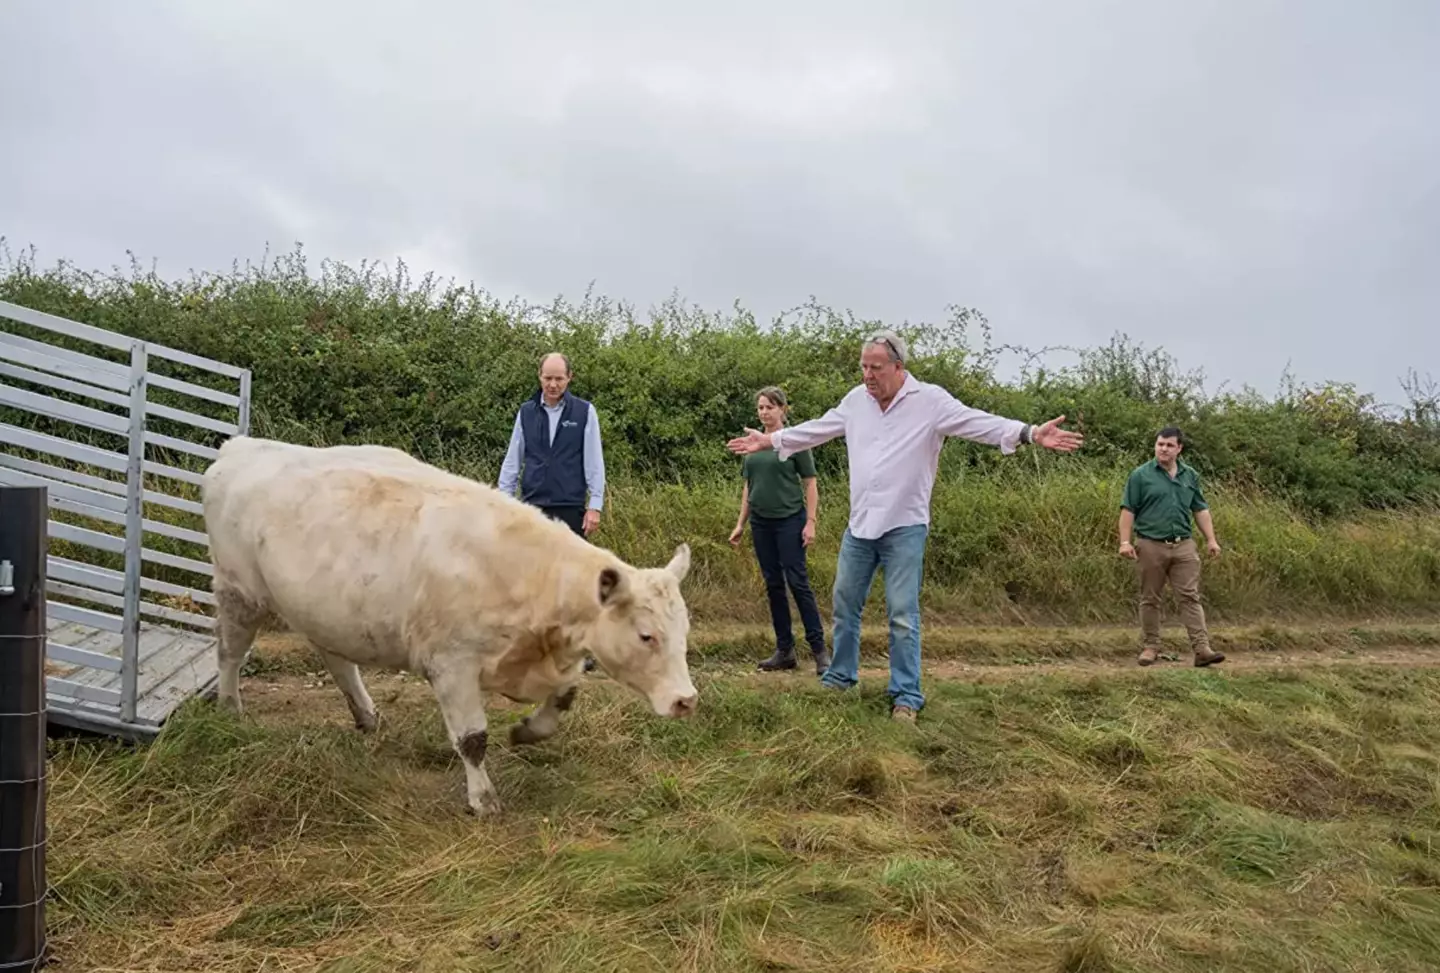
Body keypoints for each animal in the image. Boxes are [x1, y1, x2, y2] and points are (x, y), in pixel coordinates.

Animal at [200, 435, 698, 817]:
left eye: (684, 633)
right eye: (646, 635)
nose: (686, 700)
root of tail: (240, 447)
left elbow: (563, 699)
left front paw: (527, 731)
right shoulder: (451, 664)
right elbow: (472, 739)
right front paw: (483, 800)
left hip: (325, 611)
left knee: (337, 662)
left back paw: (367, 715)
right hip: (239, 592)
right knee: (229, 653)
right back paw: (229, 708)